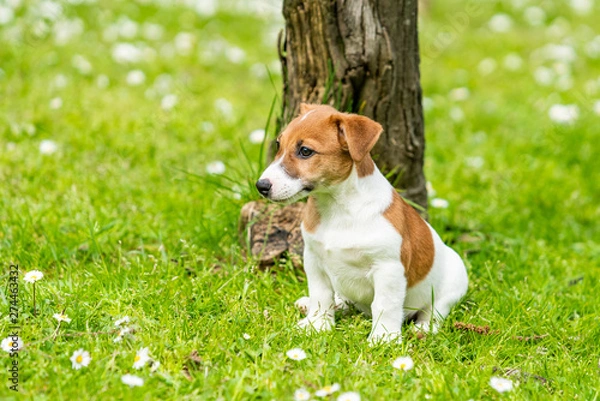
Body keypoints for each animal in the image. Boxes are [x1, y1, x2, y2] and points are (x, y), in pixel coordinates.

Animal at [254, 102, 468, 340]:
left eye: (305, 151)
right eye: (278, 144)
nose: (261, 185)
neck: (338, 208)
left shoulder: (388, 269)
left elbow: (385, 305)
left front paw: (384, 338)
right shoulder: (313, 259)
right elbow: (321, 295)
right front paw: (317, 324)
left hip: (452, 285)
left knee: (434, 311)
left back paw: (424, 328)